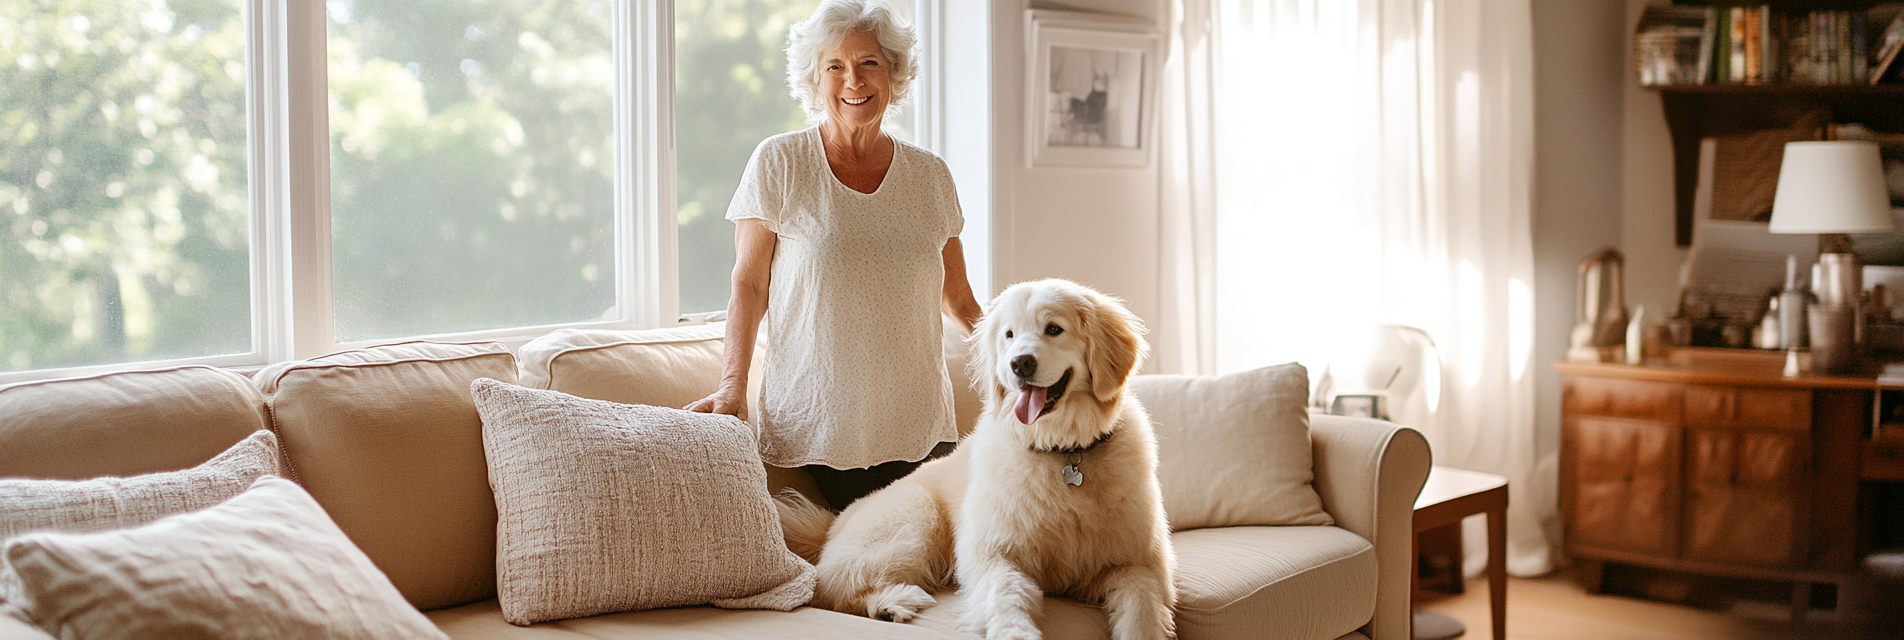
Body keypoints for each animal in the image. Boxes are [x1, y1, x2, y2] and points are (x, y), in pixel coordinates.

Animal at [773, 278, 1172, 640]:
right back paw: (893, 601)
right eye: (1009, 334)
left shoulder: (1137, 563)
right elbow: (1006, 597)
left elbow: (1142, 614)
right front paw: (1015, 633)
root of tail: (833, 521)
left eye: (1054, 329)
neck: (1063, 453)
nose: (1019, 364)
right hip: (915, 518)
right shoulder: (993, 553)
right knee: (830, 588)